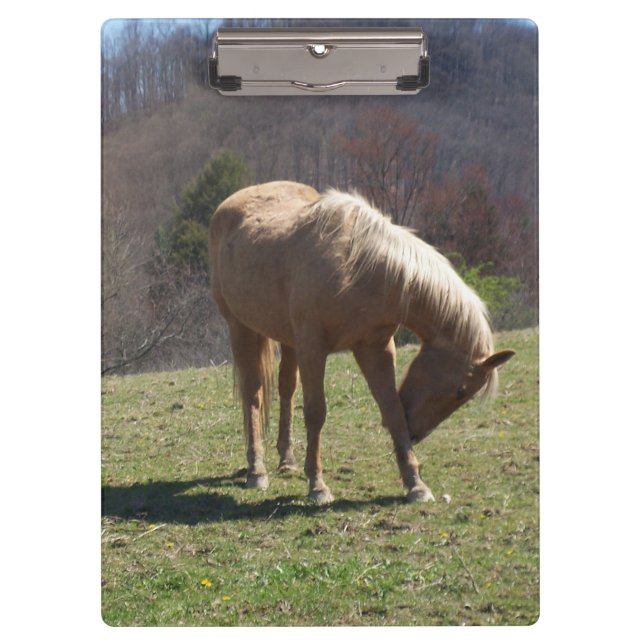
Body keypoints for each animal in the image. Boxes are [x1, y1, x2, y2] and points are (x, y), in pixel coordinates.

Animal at [209, 181, 514, 504]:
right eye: (460, 391)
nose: (416, 433)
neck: (359, 267)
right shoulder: (313, 349)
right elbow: (316, 412)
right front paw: (317, 485)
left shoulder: (375, 348)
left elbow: (392, 409)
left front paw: (416, 484)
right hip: (240, 328)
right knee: (253, 394)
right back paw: (257, 470)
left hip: (286, 339)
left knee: (286, 390)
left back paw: (287, 460)